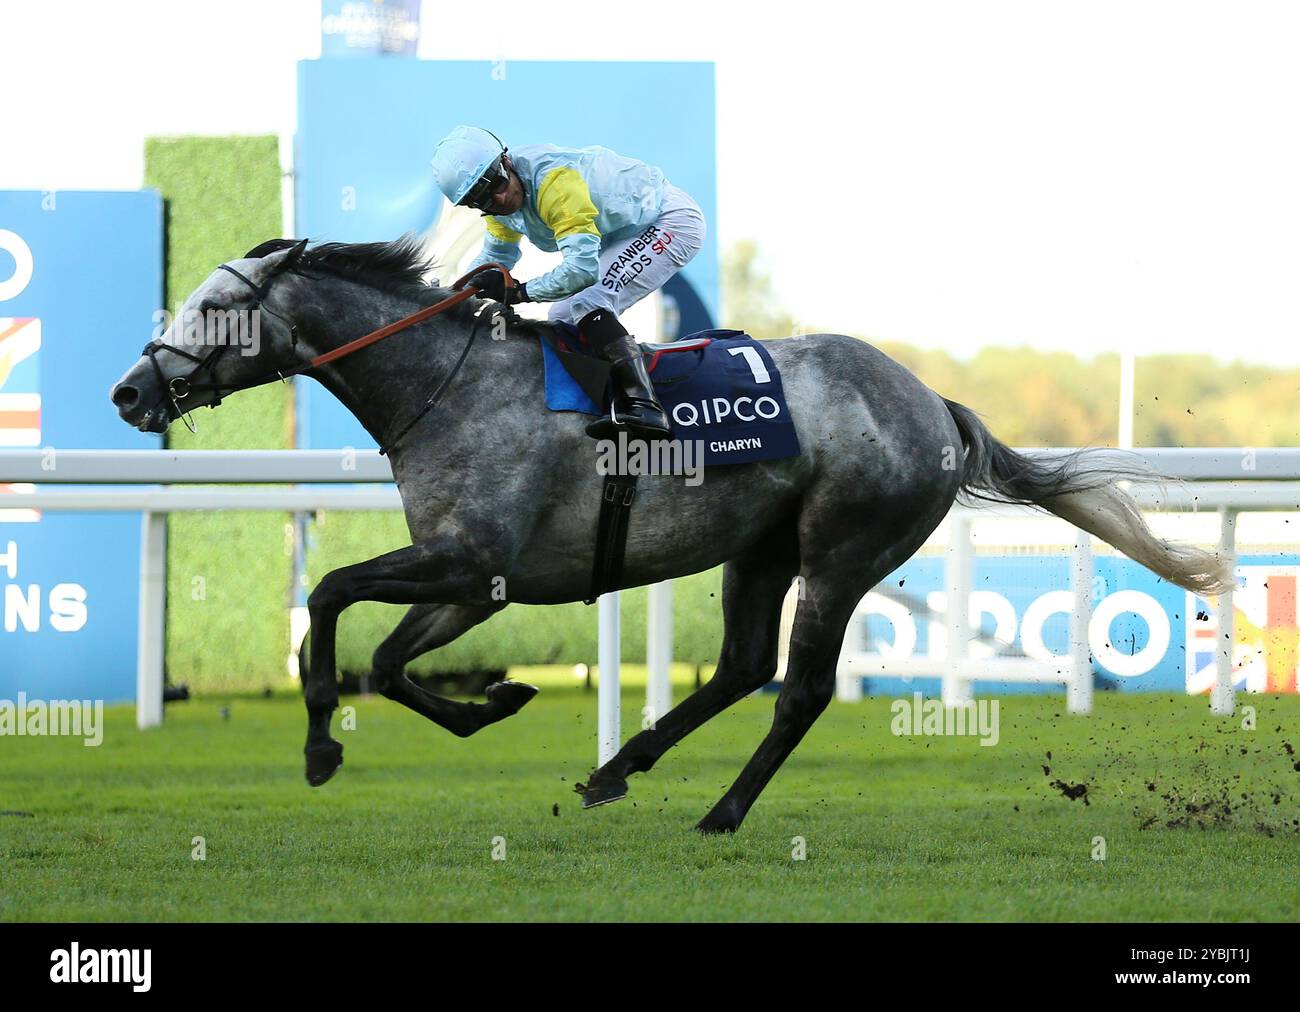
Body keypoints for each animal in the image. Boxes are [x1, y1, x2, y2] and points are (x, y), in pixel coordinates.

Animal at [109, 236, 1227, 827]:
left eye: (212, 310)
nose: (127, 392)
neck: (448, 387)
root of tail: (933, 403)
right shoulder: (475, 583)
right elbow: (384, 659)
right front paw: (498, 701)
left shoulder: (469, 564)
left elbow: (333, 595)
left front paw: (318, 748)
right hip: (760, 550)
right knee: (741, 666)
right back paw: (617, 767)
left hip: (842, 551)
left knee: (799, 689)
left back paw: (721, 809)